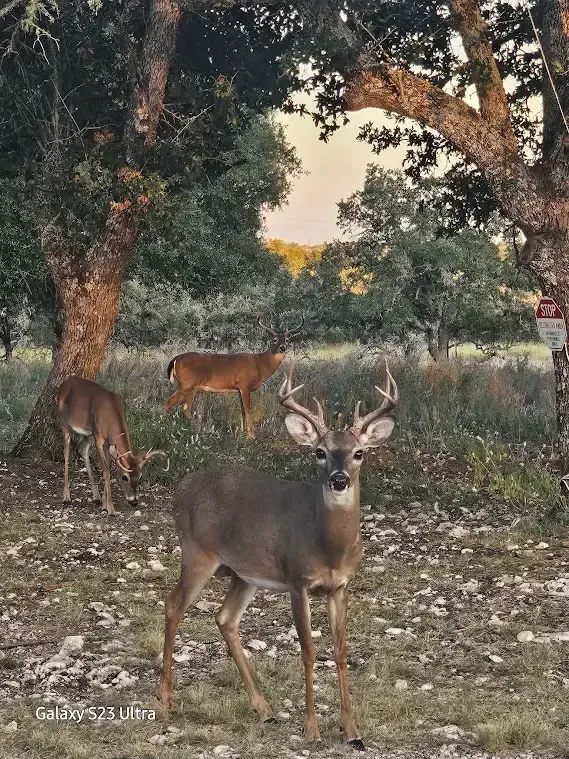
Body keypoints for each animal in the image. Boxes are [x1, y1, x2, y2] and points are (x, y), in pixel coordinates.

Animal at [57, 376, 169, 515]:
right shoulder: (98, 437)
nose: (134, 502)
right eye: (124, 477)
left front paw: (104, 504)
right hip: (65, 424)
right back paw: (66, 497)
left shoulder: (107, 442)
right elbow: (106, 471)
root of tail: (65, 382)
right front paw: (110, 508)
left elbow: (109, 468)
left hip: (88, 433)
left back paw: (96, 497)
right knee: (66, 453)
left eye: (140, 477)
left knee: (82, 449)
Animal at [158, 360, 398, 750]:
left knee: (225, 618)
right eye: (319, 451)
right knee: (173, 605)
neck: (328, 545)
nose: (339, 479)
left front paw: (352, 731)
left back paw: (264, 708)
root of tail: (180, 488)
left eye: (359, 452)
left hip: (242, 574)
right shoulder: (298, 580)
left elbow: (341, 652)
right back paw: (165, 699)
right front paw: (312, 730)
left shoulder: (341, 586)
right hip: (196, 552)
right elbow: (309, 651)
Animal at [164, 315, 304, 439]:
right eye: (274, 339)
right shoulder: (245, 385)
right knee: (173, 403)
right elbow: (248, 410)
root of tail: (175, 359)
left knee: (183, 407)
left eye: (287, 340)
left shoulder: (238, 389)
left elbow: (242, 410)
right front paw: (252, 436)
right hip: (187, 384)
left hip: (190, 387)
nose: (282, 348)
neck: (260, 364)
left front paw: (242, 432)